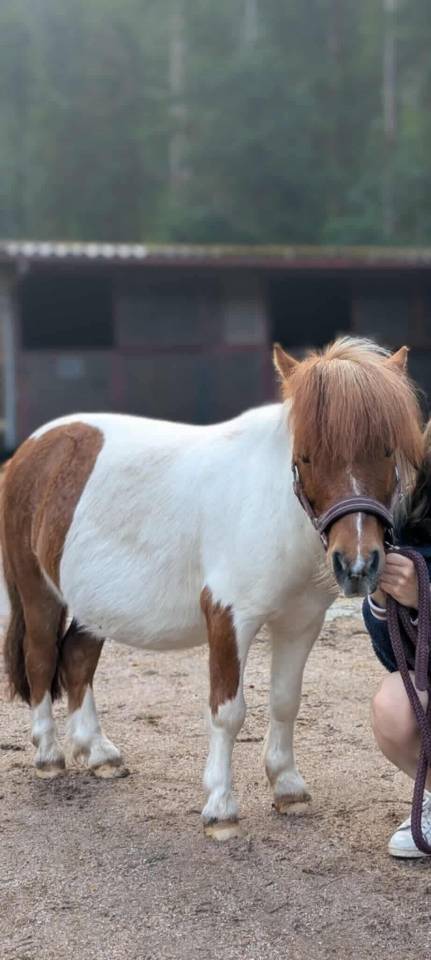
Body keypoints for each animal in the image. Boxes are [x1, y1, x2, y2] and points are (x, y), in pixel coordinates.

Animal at [1, 337, 423, 840]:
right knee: (42, 658)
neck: (268, 506)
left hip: (94, 608)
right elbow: (227, 711)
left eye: (386, 450)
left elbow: (285, 701)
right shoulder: (228, 617)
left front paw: (288, 787)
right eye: (305, 457)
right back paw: (48, 755)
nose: (357, 564)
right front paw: (221, 808)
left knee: (76, 660)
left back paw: (99, 753)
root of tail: (33, 448)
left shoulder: (301, 621)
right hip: (39, 593)